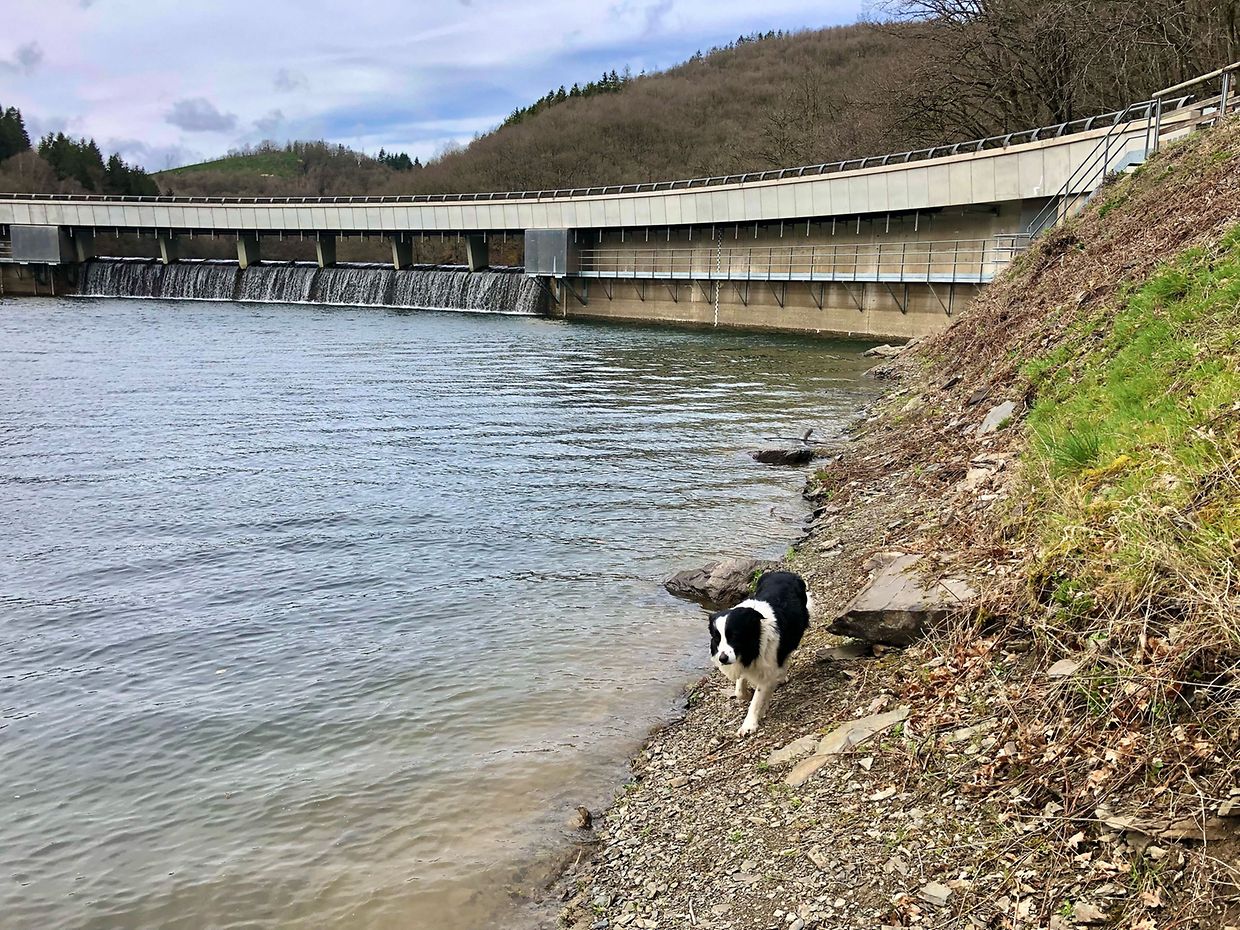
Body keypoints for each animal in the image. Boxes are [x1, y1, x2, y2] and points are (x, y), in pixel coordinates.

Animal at [708, 571, 812, 736]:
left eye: (734, 636)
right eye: (717, 638)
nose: (723, 659)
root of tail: (784, 572)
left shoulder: (767, 667)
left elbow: (757, 699)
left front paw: (748, 725)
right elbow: (740, 690)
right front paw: (748, 695)